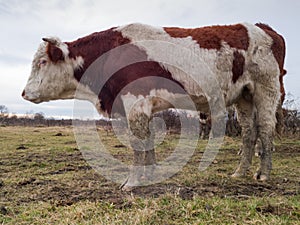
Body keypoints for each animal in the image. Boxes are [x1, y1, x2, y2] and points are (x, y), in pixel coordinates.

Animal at [21, 22, 286, 189]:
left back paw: (264, 174)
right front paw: (148, 176)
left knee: (265, 128)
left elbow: (138, 144)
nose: (24, 93)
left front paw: (132, 182)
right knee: (249, 132)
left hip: (266, 89)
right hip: (244, 96)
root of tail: (262, 28)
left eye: (42, 62)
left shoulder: (135, 103)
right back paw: (240, 172)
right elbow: (148, 142)